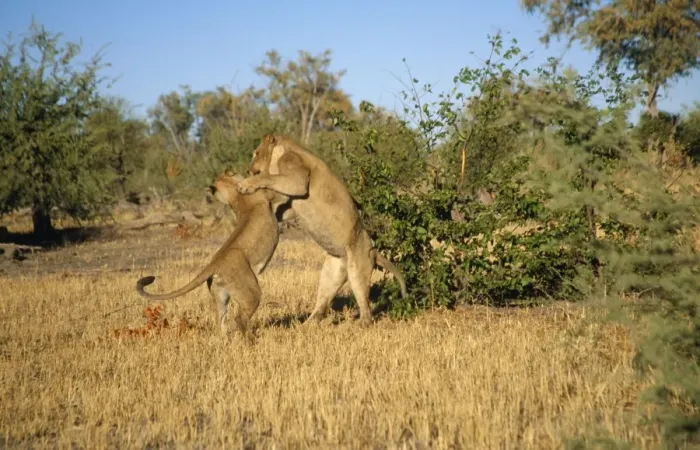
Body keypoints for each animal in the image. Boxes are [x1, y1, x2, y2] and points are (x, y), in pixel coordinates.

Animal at [136, 169, 285, 343]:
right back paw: (251, 341)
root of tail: (215, 263)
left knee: (221, 321)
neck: (235, 194)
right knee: (239, 318)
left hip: (221, 296)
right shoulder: (269, 196)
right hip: (251, 292)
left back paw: (226, 341)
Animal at [236, 134, 408, 327]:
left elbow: (268, 178)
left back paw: (361, 324)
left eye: (256, 153)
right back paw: (306, 325)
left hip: (357, 269)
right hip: (331, 273)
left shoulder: (297, 178)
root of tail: (373, 250)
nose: (249, 169)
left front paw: (246, 185)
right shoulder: (291, 204)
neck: (283, 150)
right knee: (323, 303)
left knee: (365, 303)